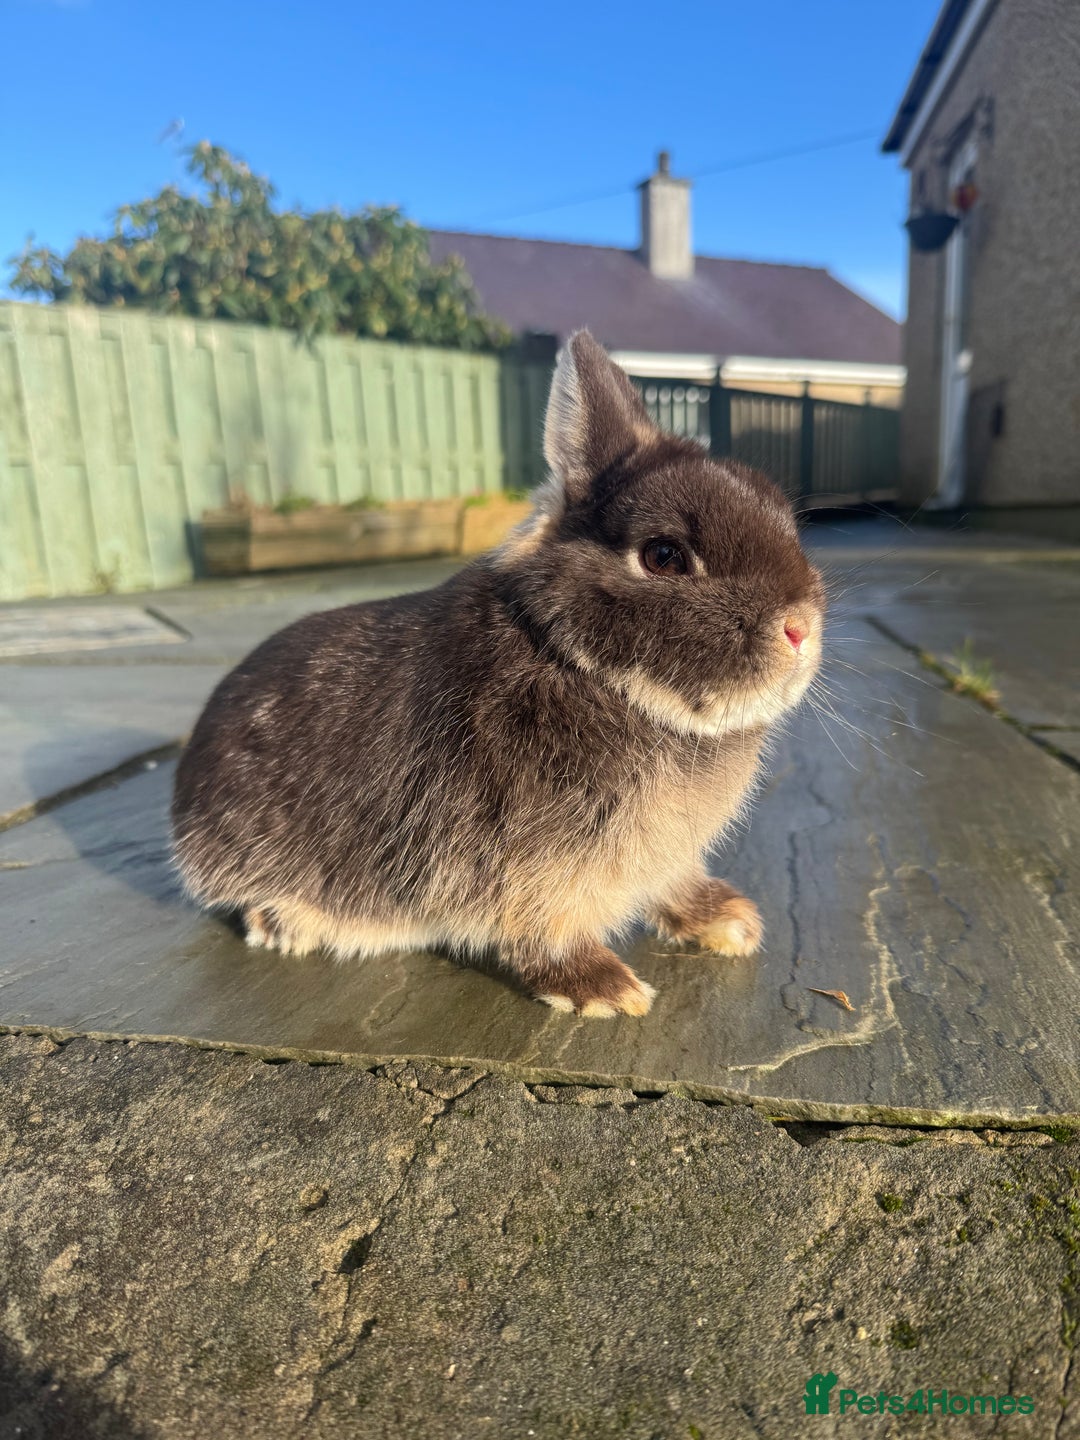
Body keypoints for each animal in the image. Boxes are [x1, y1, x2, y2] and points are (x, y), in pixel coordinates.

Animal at [172, 330, 825, 1018]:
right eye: (663, 556)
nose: (799, 629)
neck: (578, 664)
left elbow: (670, 883)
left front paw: (726, 921)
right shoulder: (522, 860)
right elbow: (541, 927)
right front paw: (605, 991)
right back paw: (290, 922)